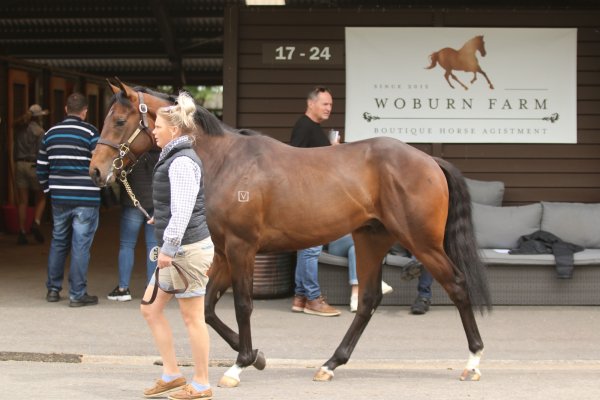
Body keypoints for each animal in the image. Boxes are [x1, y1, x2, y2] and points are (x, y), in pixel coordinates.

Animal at [90, 80, 492, 388]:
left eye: (120, 120)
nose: (96, 171)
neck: (224, 161)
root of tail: (428, 160)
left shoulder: (241, 248)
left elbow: (242, 304)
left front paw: (241, 364)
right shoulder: (224, 252)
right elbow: (207, 309)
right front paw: (258, 357)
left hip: (421, 242)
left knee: (457, 285)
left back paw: (473, 362)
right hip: (370, 239)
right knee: (368, 300)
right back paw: (330, 364)